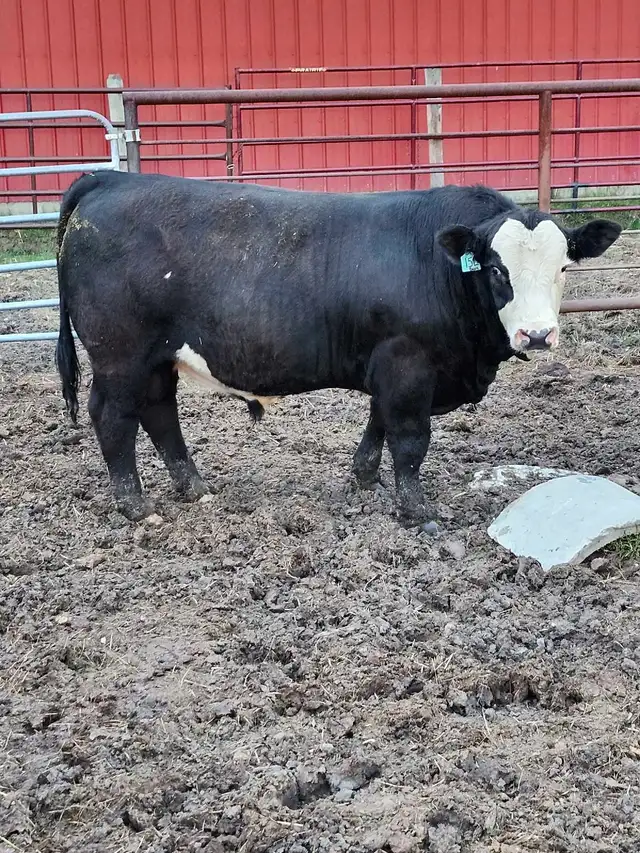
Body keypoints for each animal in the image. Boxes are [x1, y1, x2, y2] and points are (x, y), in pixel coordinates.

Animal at [55, 171, 621, 524]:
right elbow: (410, 439)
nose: (538, 334)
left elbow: (379, 424)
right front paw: (417, 511)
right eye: (498, 270)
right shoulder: (409, 364)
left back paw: (194, 487)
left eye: (563, 267)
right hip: (120, 355)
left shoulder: (391, 365)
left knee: (159, 413)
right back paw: (134, 505)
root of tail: (111, 179)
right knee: (114, 417)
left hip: (156, 358)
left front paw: (365, 478)